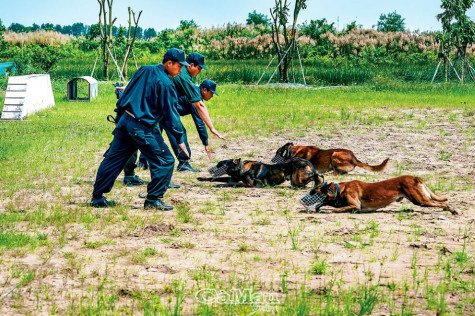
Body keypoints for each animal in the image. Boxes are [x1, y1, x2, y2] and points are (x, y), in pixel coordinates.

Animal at [304, 174, 460, 216]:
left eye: (314, 192)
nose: (303, 200)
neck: (340, 189)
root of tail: (415, 177)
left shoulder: (355, 206)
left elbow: (338, 209)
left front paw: (327, 210)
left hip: (421, 201)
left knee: (442, 203)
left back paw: (453, 210)